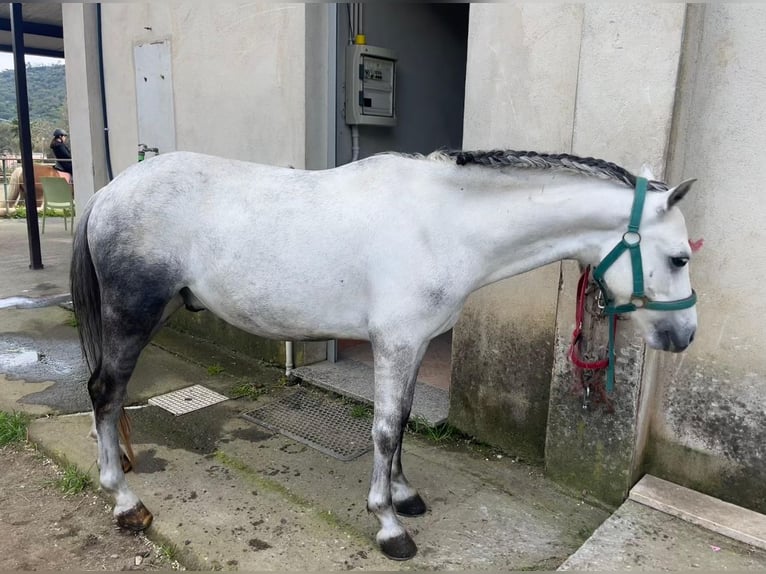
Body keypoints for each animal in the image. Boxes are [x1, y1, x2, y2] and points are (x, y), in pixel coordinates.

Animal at [70, 149, 698, 560]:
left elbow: (404, 424)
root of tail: (108, 192)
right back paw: (124, 501)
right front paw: (389, 526)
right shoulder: (394, 343)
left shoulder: (413, 343)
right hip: (133, 316)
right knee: (104, 391)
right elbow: (385, 427)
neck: (443, 223)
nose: (684, 336)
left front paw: (404, 494)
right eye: (679, 258)